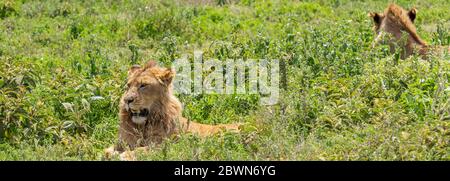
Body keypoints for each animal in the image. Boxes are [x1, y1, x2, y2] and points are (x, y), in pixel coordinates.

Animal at [105, 60, 241, 160]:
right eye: (128, 86)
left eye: (143, 85)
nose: (127, 100)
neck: (143, 126)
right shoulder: (123, 142)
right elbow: (106, 151)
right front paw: (113, 154)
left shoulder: (166, 145)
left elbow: (142, 150)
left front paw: (125, 155)